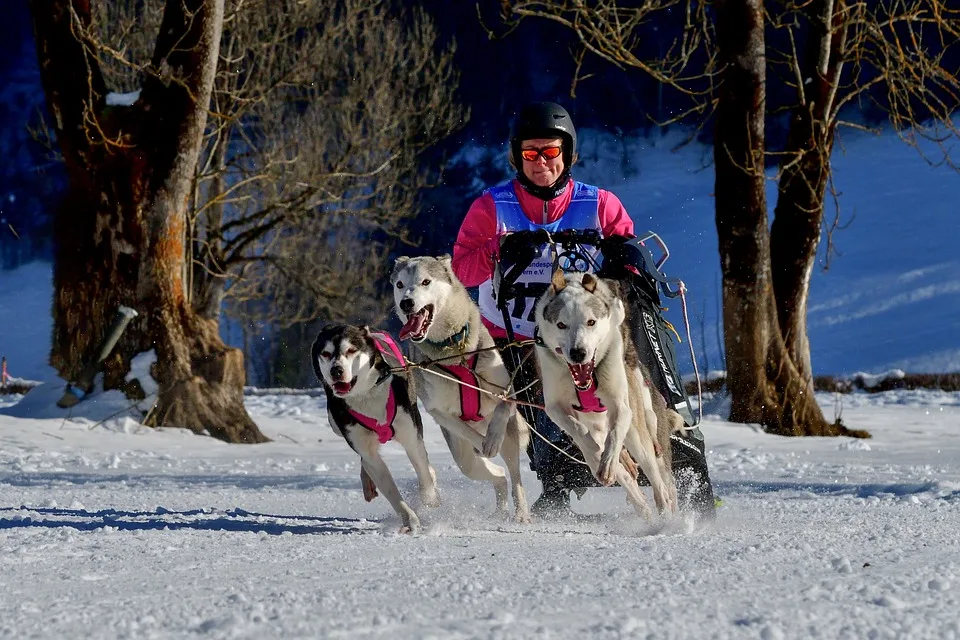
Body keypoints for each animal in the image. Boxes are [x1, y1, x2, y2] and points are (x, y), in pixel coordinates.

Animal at [312, 322, 438, 532]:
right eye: (326, 353)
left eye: (351, 350)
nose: (336, 370)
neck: (366, 395)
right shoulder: (366, 449)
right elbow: (385, 481)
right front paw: (409, 519)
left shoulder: (411, 435)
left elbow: (422, 470)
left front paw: (430, 499)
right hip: (335, 424)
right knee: (366, 462)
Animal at [390, 252, 532, 524]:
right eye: (400, 284)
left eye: (426, 281)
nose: (406, 303)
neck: (455, 351)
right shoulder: (438, 411)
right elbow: (463, 428)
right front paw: (484, 442)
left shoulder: (507, 391)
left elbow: (501, 408)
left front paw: (492, 438)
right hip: (465, 459)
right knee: (497, 474)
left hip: (511, 441)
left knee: (515, 476)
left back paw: (521, 513)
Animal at [532, 272, 684, 520]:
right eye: (561, 324)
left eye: (591, 322)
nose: (578, 353)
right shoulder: (554, 406)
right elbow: (580, 432)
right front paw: (597, 453)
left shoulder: (620, 405)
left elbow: (615, 434)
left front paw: (609, 459)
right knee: (626, 478)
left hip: (641, 438)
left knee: (659, 483)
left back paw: (665, 515)